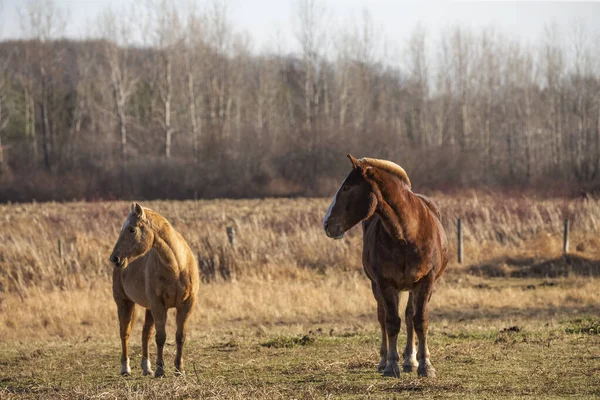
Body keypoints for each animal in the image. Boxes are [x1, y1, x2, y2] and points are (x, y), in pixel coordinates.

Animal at [109, 203, 200, 378]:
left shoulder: (186, 305)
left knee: (145, 334)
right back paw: (125, 368)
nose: (114, 258)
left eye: (132, 229)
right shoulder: (158, 305)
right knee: (125, 333)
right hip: (124, 303)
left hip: (148, 308)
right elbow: (161, 337)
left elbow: (180, 336)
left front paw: (179, 369)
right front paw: (160, 370)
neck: (177, 267)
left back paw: (146, 368)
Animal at [324, 155, 446, 378]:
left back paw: (410, 360)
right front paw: (391, 365)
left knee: (409, 316)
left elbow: (419, 321)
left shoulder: (426, 282)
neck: (408, 234)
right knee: (383, 318)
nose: (327, 224)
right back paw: (384, 361)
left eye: (346, 187)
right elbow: (391, 323)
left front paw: (425, 365)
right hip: (379, 287)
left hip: (414, 287)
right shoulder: (385, 283)